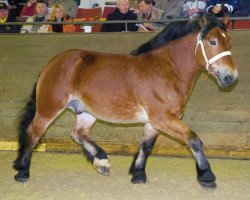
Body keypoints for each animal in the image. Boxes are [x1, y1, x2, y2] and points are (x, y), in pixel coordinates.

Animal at [13, 14, 238, 189]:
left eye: (229, 42)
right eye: (212, 42)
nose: (230, 77)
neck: (166, 69)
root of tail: (52, 62)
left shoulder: (155, 122)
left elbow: (146, 146)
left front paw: (138, 174)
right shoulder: (163, 118)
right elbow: (194, 140)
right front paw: (207, 176)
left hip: (86, 112)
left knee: (78, 133)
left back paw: (102, 162)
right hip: (49, 107)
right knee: (34, 132)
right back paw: (22, 171)